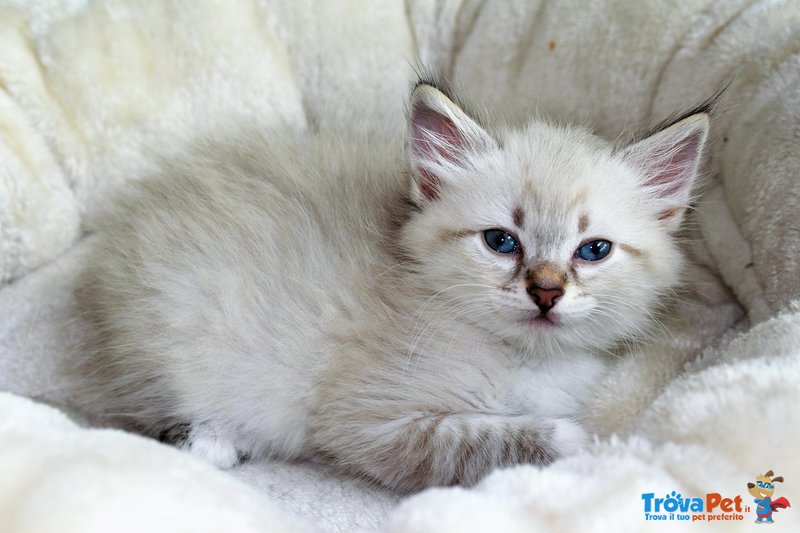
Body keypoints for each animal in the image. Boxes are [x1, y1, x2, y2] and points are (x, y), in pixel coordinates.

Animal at [76, 82, 708, 490]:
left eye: (593, 250)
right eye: (501, 241)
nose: (547, 292)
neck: (526, 361)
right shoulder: (368, 421)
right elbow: (480, 440)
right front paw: (576, 442)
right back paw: (214, 441)